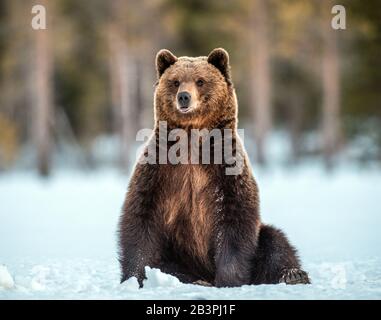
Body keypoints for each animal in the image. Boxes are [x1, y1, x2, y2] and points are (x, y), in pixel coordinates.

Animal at [118, 47, 308, 288]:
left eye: (200, 81)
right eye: (175, 81)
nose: (184, 96)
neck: (191, 138)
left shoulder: (225, 170)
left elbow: (235, 220)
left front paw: (229, 278)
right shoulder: (158, 170)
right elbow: (140, 217)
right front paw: (135, 277)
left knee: (275, 241)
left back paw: (293, 275)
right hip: (176, 253)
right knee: (168, 264)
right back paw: (195, 281)